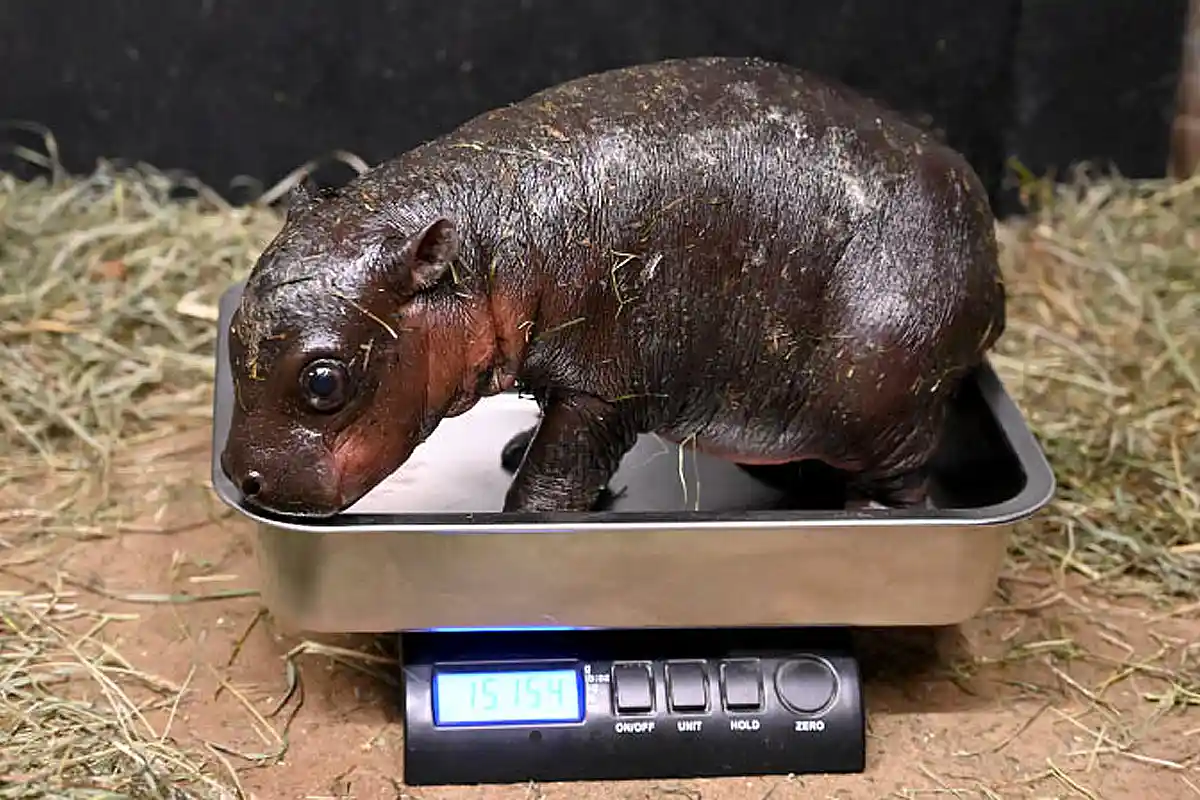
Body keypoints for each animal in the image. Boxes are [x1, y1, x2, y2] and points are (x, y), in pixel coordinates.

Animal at [220, 56, 1006, 518]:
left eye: (324, 381)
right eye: (231, 339)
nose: (239, 478)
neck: (484, 242)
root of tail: (989, 254)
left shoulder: (602, 389)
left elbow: (555, 477)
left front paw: (526, 513)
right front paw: (518, 450)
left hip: (881, 398)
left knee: (905, 480)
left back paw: (869, 517)